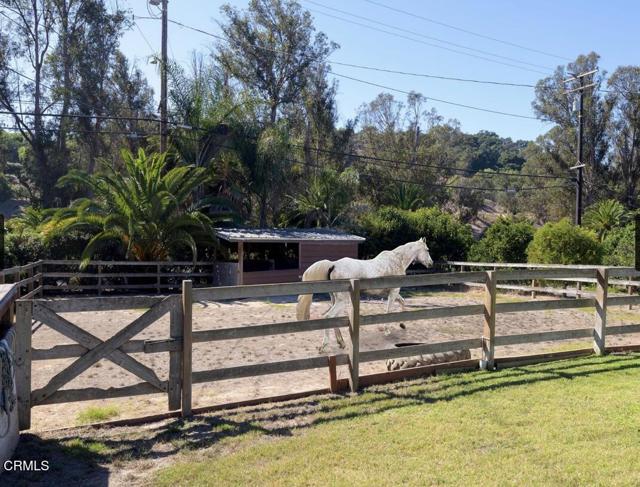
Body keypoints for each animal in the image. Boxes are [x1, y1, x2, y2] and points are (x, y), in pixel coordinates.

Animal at [298, 238, 432, 352]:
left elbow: (402, 302)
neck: (397, 260)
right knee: (328, 316)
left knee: (333, 318)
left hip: (335, 299)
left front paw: (402, 324)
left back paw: (341, 343)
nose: (431, 263)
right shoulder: (394, 291)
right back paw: (325, 346)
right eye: (427, 250)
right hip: (343, 301)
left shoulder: (392, 292)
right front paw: (387, 330)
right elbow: (389, 310)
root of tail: (333, 265)